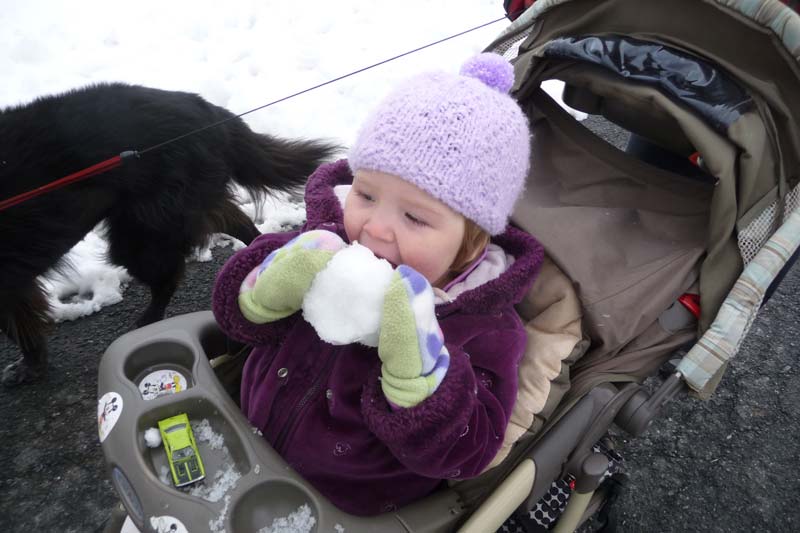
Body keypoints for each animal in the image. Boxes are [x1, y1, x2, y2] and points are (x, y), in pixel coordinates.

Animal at [0, 82, 338, 382]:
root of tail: (208, 111)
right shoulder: (14, 282)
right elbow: (20, 322)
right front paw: (31, 365)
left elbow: (17, 325)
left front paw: (31, 366)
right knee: (233, 220)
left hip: (142, 231)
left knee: (169, 275)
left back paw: (146, 323)